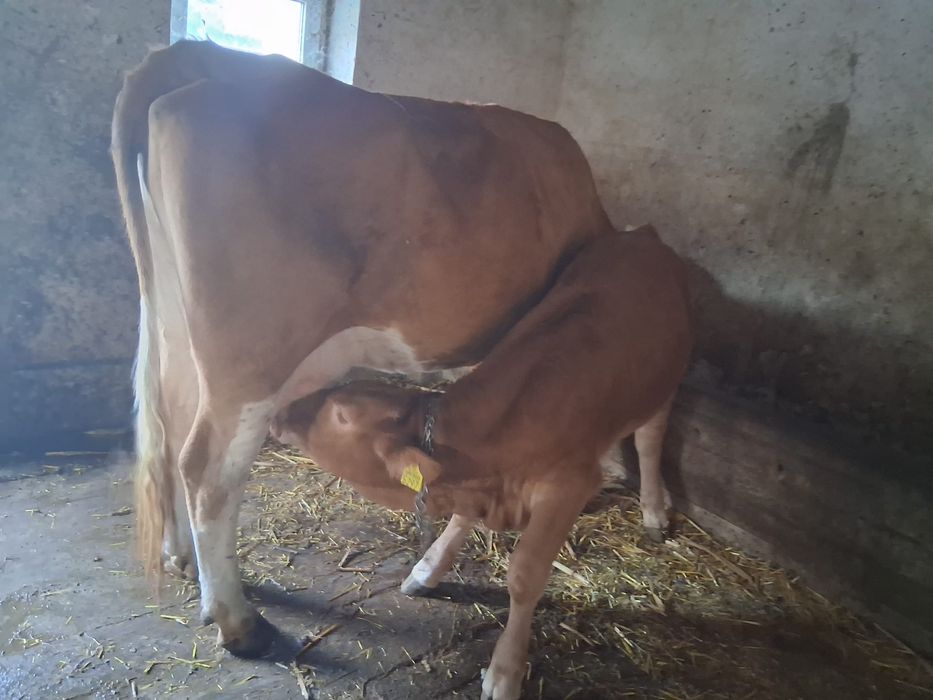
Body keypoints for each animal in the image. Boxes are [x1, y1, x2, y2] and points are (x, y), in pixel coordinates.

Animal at [112, 39, 616, 658]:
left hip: (177, 328)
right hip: (250, 357)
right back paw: (237, 619)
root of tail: (202, 55)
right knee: (206, 468)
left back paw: (182, 559)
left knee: (171, 428)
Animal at [274, 227, 693, 700]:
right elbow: (459, 520)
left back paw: (654, 509)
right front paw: (428, 567)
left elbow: (524, 574)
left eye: (340, 414)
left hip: (667, 376)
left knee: (650, 438)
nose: (280, 411)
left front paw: (505, 670)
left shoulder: (566, 484)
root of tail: (638, 234)